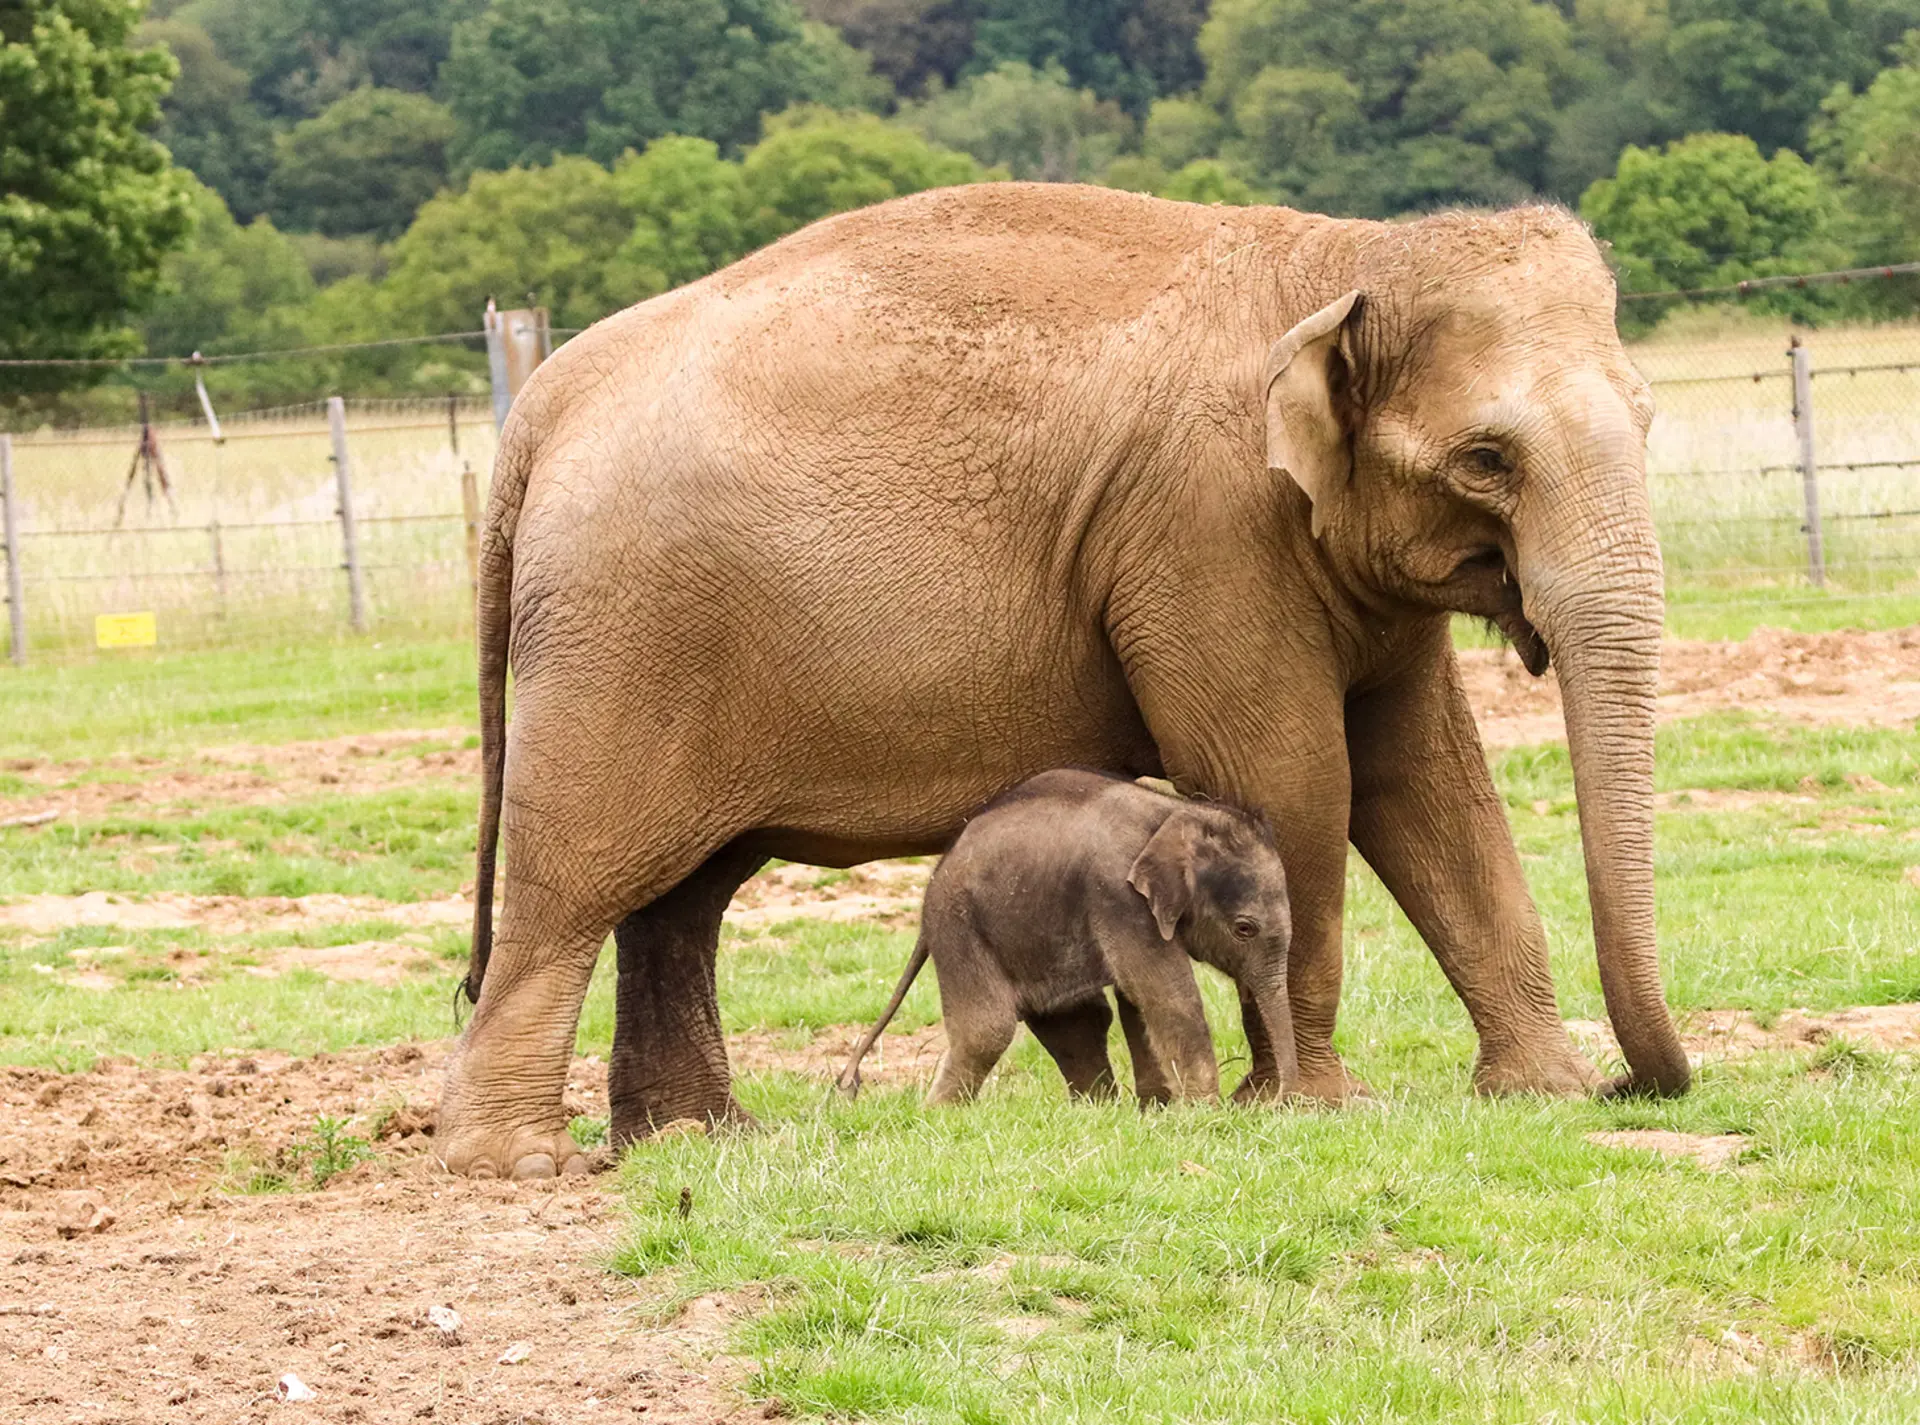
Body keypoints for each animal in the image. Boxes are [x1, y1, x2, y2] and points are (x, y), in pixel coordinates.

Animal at [835, 768, 1296, 1106]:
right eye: (1244, 929)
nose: (1280, 1105)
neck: (1173, 813)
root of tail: (935, 873)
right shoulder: (1117, 896)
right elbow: (1166, 997)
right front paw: (1202, 1113)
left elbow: (1136, 1002)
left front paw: (1158, 1110)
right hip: (959, 924)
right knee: (988, 1030)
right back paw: (940, 1114)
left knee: (1076, 1020)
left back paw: (1098, 1109)